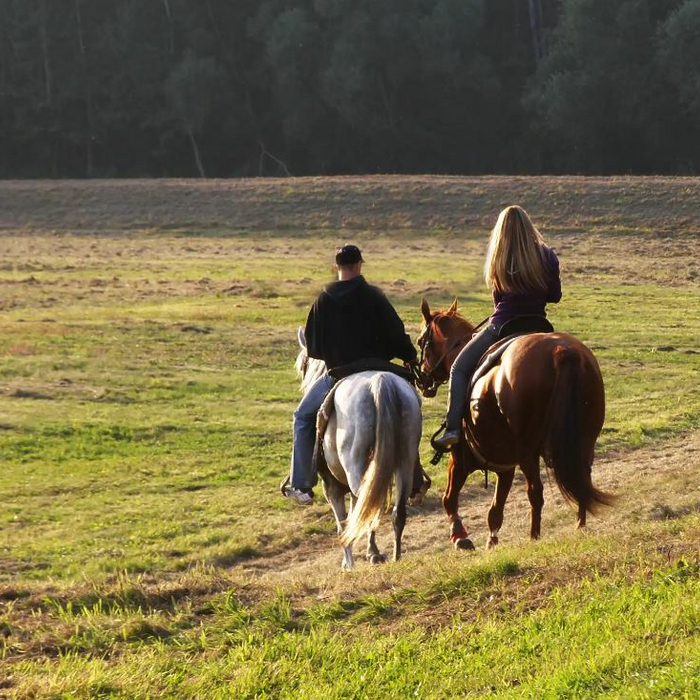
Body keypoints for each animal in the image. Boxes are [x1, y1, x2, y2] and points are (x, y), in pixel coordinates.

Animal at [296, 328, 422, 568]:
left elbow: (343, 523)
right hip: (405, 461)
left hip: (356, 468)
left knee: (370, 507)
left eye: (303, 365)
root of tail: (380, 383)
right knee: (395, 510)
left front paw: (348, 563)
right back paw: (395, 557)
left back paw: (373, 554)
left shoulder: (331, 487)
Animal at [416, 298, 612, 548]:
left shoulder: (460, 460)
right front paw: (491, 543)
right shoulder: (504, 467)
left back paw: (534, 537)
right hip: (583, 442)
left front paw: (461, 537)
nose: (423, 380)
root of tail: (562, 352)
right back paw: (580, 526)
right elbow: (495, 511)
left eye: (421, 341)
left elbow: (449, 499)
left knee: (536, 492)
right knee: (581, 480)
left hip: (528, 451)